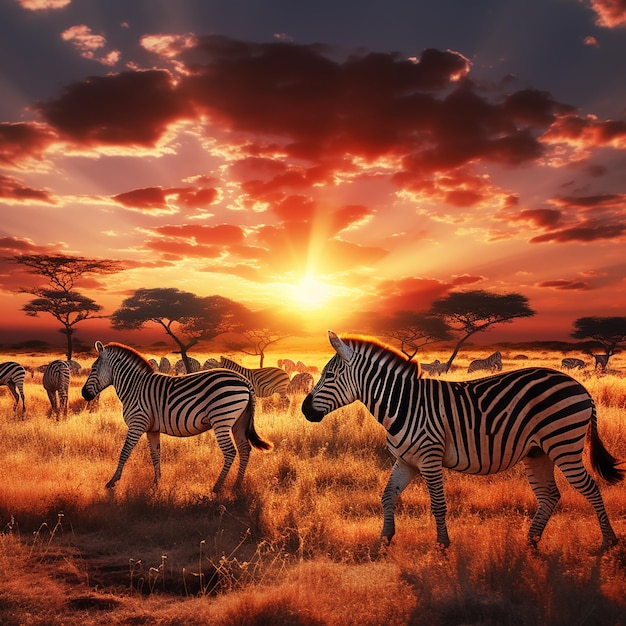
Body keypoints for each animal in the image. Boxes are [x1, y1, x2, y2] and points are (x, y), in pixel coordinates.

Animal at [81, 342, 270, 492]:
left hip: (221, 419)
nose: (84, 394)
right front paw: (156, 484)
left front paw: (112, 482)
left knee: (230, 451)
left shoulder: (137, 423)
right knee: (245, 449)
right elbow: (155, 454)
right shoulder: (151, 429)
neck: (134, 387)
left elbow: (124, 452)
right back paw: (237, 486)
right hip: (239, 421)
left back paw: (217, 488)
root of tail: (245, 381)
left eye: (93, 368)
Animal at [302, 330, 620, 548]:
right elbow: (387, 495)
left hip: (563, 444)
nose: (304, 410)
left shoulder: (429, 458)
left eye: (329, 375)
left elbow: (438, 504)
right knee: (549, 496)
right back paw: (530, 542)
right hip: (538, 452)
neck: (402, 404)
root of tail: (581, 387)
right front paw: (385, 538)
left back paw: (608, 542)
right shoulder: (406, 461)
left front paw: (443, 545)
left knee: (590, 488)